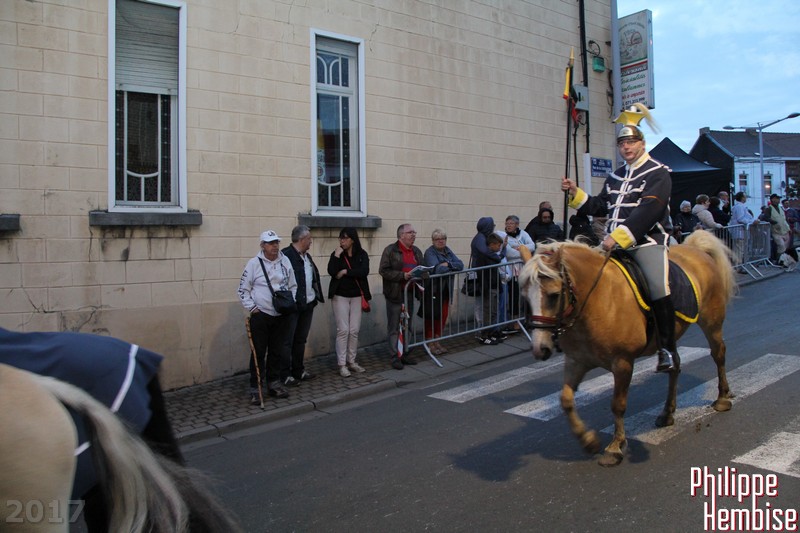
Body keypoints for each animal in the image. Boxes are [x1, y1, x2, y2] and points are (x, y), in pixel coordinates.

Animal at [518, 230, 737, 466]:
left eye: (554, 295)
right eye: (525, 297)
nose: (540, 349)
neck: (596, 300)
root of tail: (695, 248)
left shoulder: (622, 362)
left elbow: (618, 404)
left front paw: (615, 447)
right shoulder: (577, 360)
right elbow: (566, 400)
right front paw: (588, 440)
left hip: (711, 321)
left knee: (718, 354)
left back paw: (722, 398)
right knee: (675, 365)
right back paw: (667, 413)